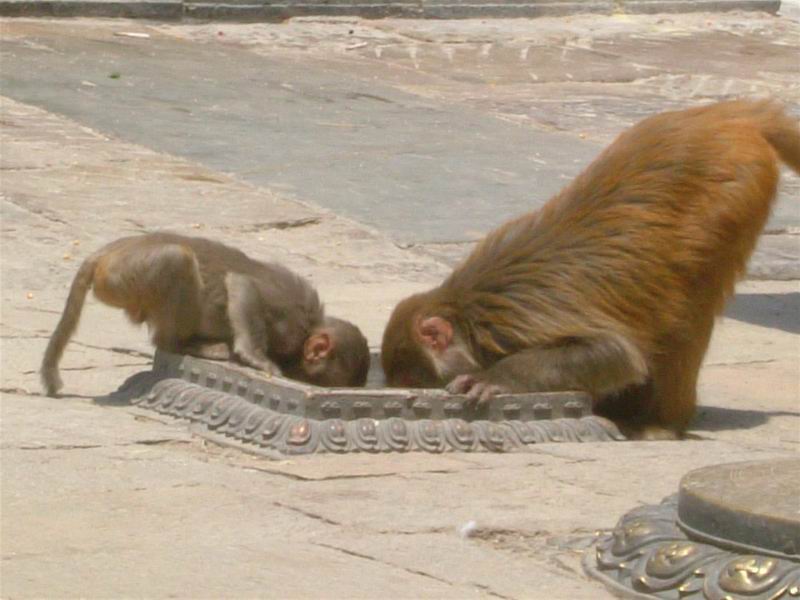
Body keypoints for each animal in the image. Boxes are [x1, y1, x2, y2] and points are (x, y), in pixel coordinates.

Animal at [41, 233, 370, 396]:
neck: (309, 329)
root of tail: (106, 253)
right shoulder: (291, 316)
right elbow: (242, 285)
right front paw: (256, 358)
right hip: (123, 277)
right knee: (178, 259)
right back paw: (182, 344)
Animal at [381, 99, 800, 440]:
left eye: (411, 379)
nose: (404, 393)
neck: (469, 310)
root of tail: (727, 115)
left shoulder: (519, 321)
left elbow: (613, 353)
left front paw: (494, 378)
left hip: (737, 193)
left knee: (689, 313)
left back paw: (661, 422)